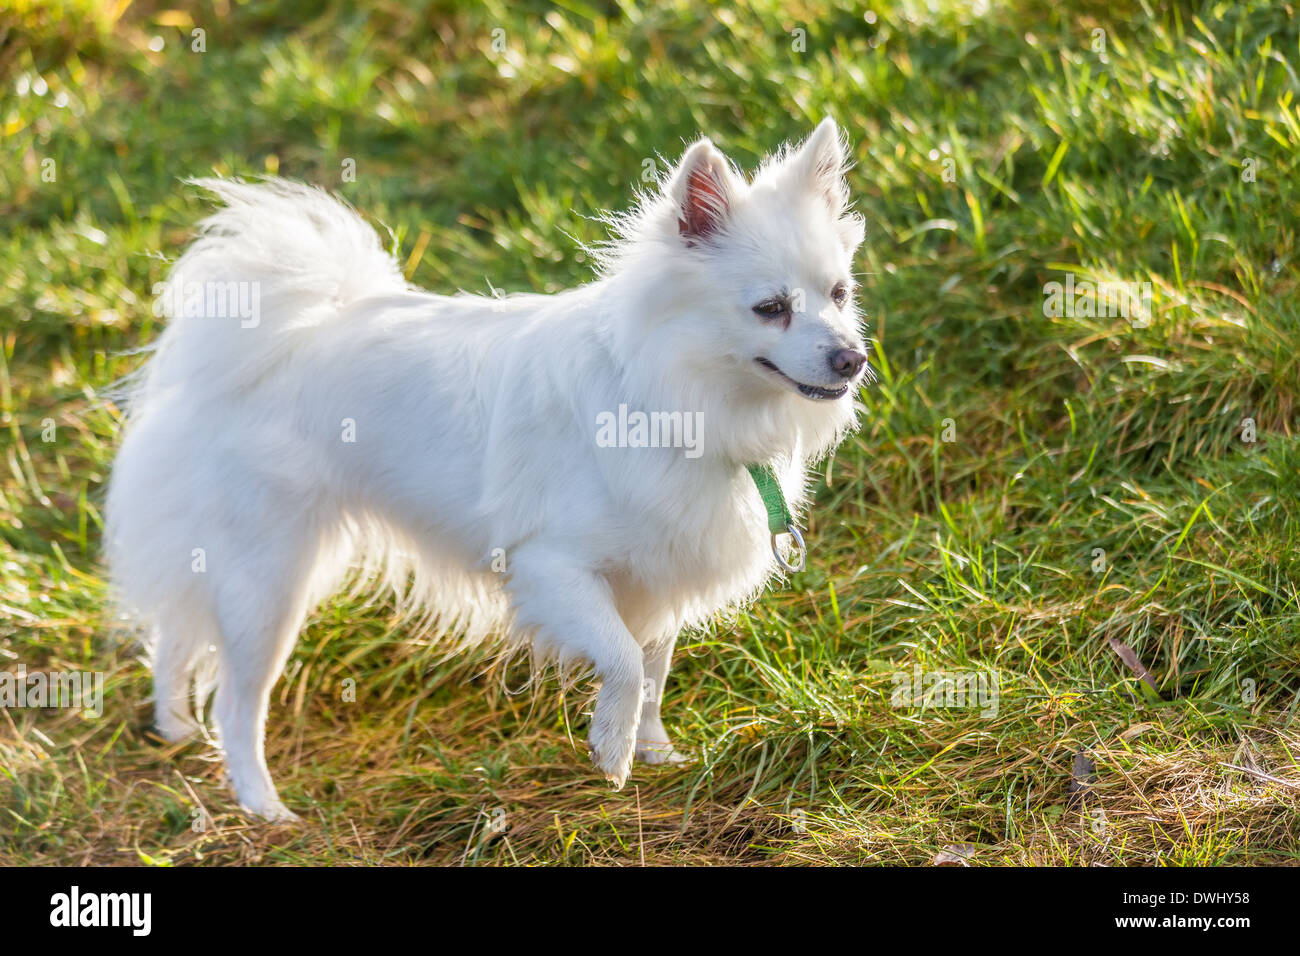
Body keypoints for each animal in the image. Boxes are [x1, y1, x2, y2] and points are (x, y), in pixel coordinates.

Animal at [106, 119, 868, 822]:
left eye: (838, 295)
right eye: (770, 309)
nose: (853, 358)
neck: (669, 394)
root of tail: (275, 337)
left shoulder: (659, 575)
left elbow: (654, 665)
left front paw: (655, 749)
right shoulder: (551, 568)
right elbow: (623, 659)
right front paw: (612, 749)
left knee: (175, 636)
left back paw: (174, 725)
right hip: (267, 581)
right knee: (237, 703)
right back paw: (264, 806)